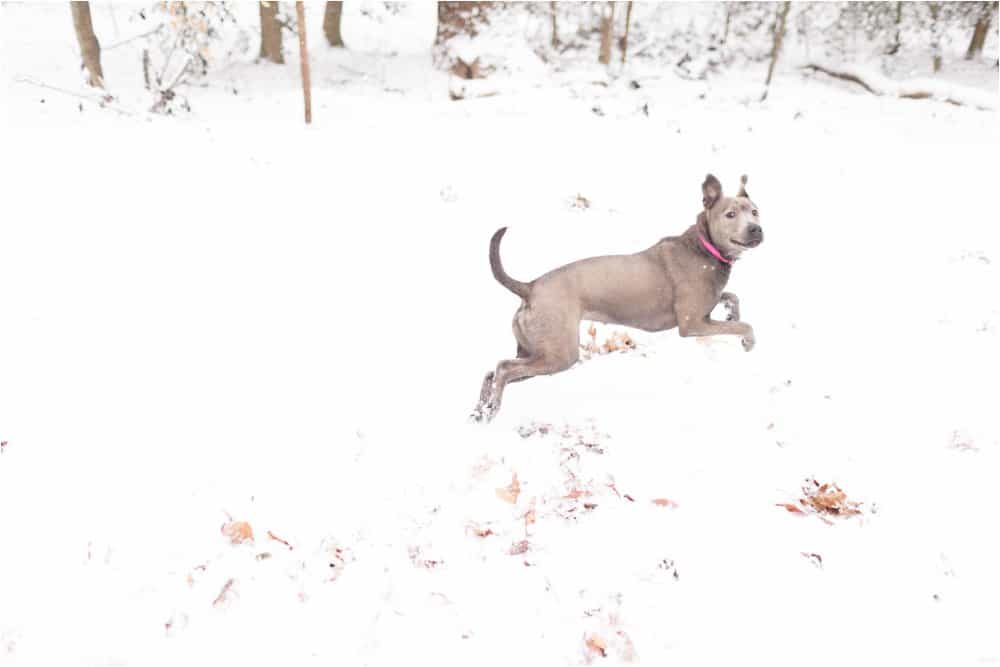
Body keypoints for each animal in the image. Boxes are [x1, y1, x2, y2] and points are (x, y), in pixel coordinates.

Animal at [472, 172, 760, 422]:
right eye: (730, 214)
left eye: (755, 211)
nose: (756, 229)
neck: (705, 246)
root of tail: (529, 287)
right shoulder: (692, 324)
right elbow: (745, 325)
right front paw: (748, 342)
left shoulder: (705, 312)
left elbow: (732, 297)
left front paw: (732, 313)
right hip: (558, 353)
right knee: (503, 368)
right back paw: (491, 408)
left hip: (534, 349)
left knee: (491, 372)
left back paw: (480, 411)